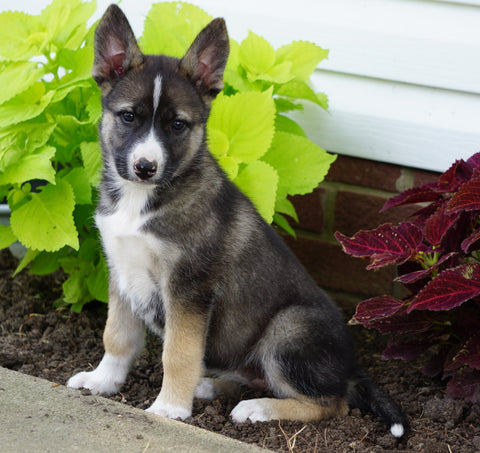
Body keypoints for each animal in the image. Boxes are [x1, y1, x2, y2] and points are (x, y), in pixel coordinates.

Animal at [67, 2, 404, 434]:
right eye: (128, 117)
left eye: (178, 124)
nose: (144, 167)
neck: (143, 199)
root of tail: (351, 369)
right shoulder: (121, 270)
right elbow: (117, 336)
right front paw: (102, 381)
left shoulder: (189, 288)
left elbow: (178, 352)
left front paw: (169, 408)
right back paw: (209, 386)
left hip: (287, 329)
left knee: (332, 404)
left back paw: (256, 408)